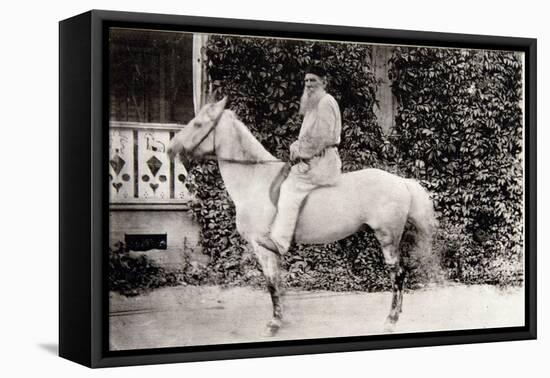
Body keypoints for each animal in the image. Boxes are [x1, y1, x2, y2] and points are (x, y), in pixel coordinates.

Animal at [168, 98, 440, 336]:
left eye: (198, 124)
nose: (170, 149)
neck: (255, 179)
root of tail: (401, 181)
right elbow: (278, 283)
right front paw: (282, 318)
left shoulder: (261, 246)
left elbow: (270, 283)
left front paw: (273, 324)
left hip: (387, 237)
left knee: (398, 274)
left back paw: (390, 320)